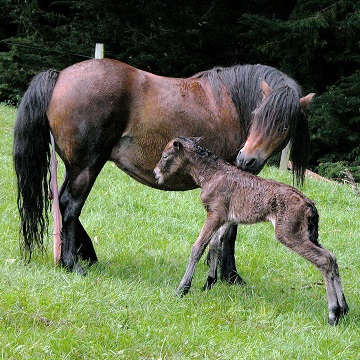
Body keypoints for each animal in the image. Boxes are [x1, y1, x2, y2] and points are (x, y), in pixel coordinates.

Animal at [12, 58, 314, 278]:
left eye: (284, 126)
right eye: (257, 115)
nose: (246, 159)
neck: (232, 101)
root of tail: (60, 76)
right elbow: (230, 231)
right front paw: (230, 275)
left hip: (74, 167)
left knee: (59, 201)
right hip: (87, 166)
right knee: (70, 206)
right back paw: (73, 263)